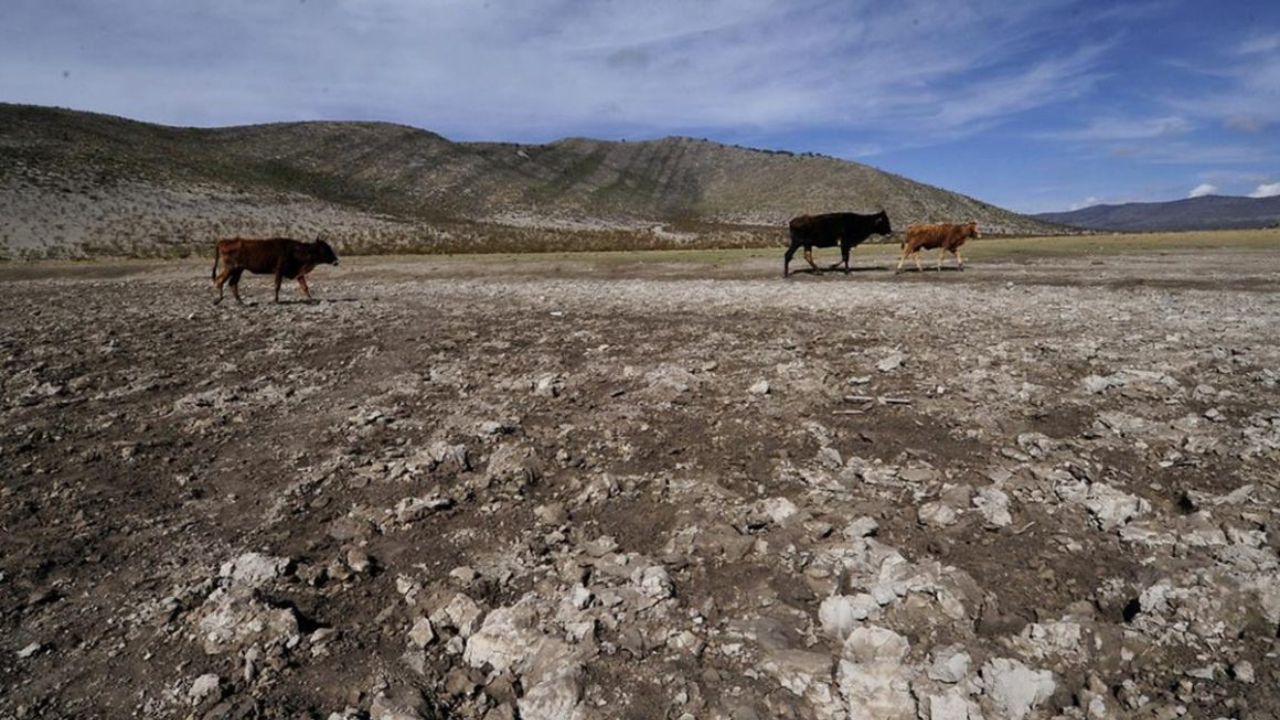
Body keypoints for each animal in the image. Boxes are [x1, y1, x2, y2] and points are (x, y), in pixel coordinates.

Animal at [211, 235, 340, 302]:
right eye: (325, 249)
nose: (336, 261)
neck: (295, 251)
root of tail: (223, 242)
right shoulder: (279, 271)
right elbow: (277, 286)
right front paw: (276, 300)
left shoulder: (299, 273)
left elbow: (305, 287)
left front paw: (311, 299)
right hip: (230, 268)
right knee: (220, 280)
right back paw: (220, 299)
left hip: (238, 270)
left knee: (232, 283)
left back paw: (240, 301)